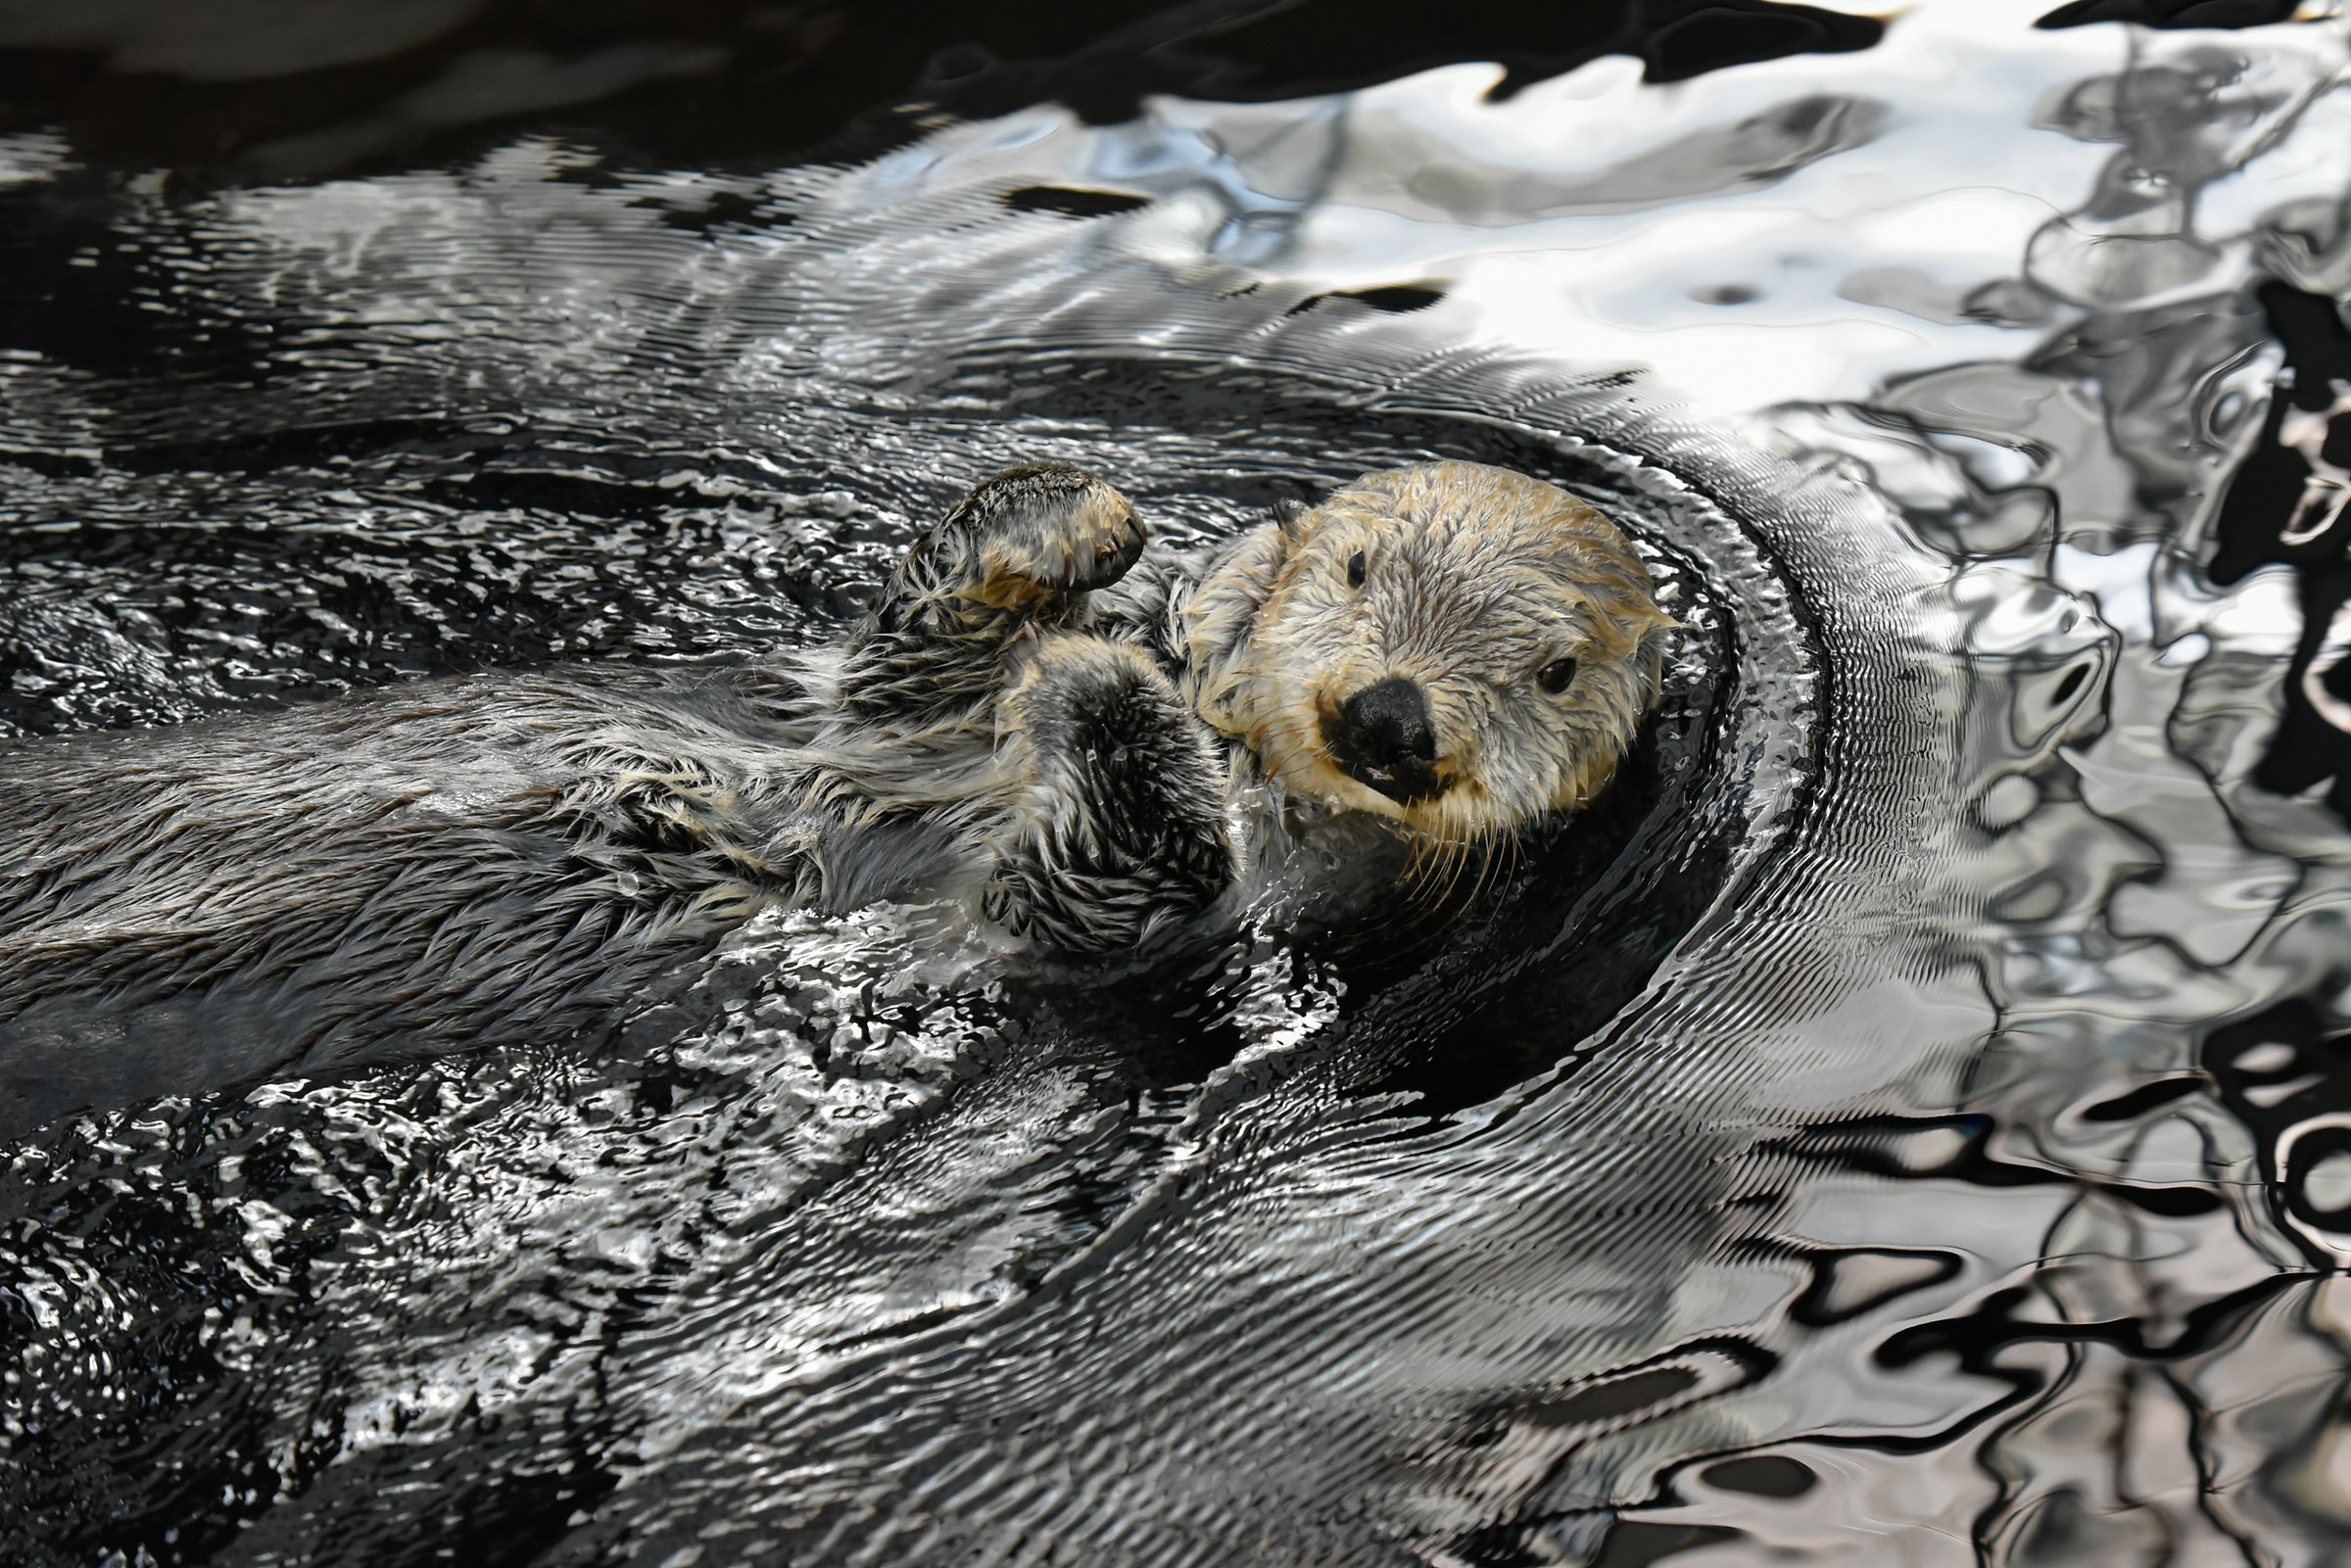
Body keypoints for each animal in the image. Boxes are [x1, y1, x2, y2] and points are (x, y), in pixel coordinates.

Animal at [0, 459, 1668, 1132]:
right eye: (1360, 565)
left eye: (1557, 671)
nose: (1389, 719)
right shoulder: (888, 696)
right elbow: (915, 634)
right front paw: (1083, 541)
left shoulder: (1134, 918)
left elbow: (1113, 872)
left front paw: (1108, 691)